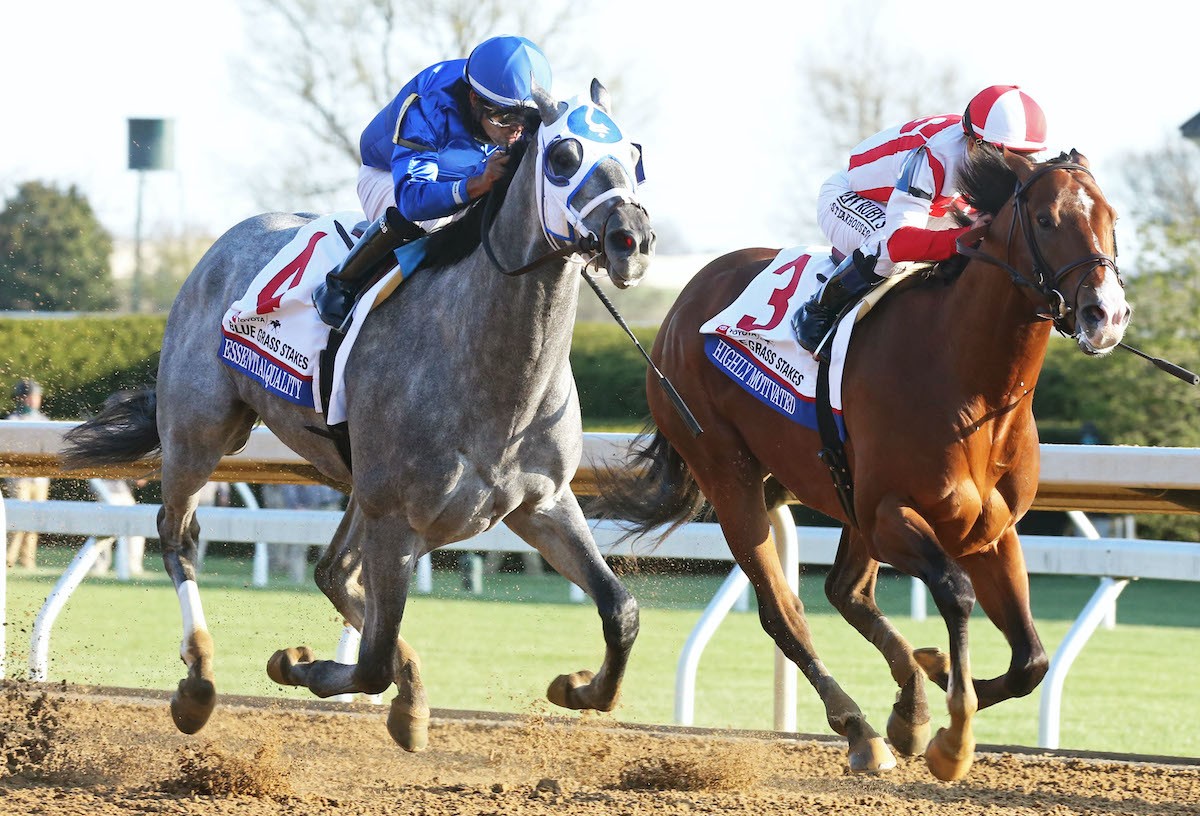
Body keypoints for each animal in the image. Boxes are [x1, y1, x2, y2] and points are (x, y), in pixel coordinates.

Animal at [58, 79, 657, 748]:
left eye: (635, 154)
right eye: (563, 157)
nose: (631, 240)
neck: (495, 373)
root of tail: (222, 244)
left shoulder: (541, 503)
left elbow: (620, 609)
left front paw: (581, 689)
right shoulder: (397, 515)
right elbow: (369, 662)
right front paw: (302, 666)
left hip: (357, 484)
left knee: (332, 571)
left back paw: (409, 693)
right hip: (202, 433)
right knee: (180, 535)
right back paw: (198, 683)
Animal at [595, 150, 1128, 782]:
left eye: (1112, 217)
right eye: (1046, 219)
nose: (1106, 313)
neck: (971, 383)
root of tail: (684, 299)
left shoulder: (989, 530)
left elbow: (1031, 661)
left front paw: (935, 681)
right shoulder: (890, 515)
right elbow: (954, 591)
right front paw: (953, 737)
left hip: (832, 488)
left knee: (845, 591)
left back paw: (907, 708)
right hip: (729, 474)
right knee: (784, 610)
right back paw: (862, 729)